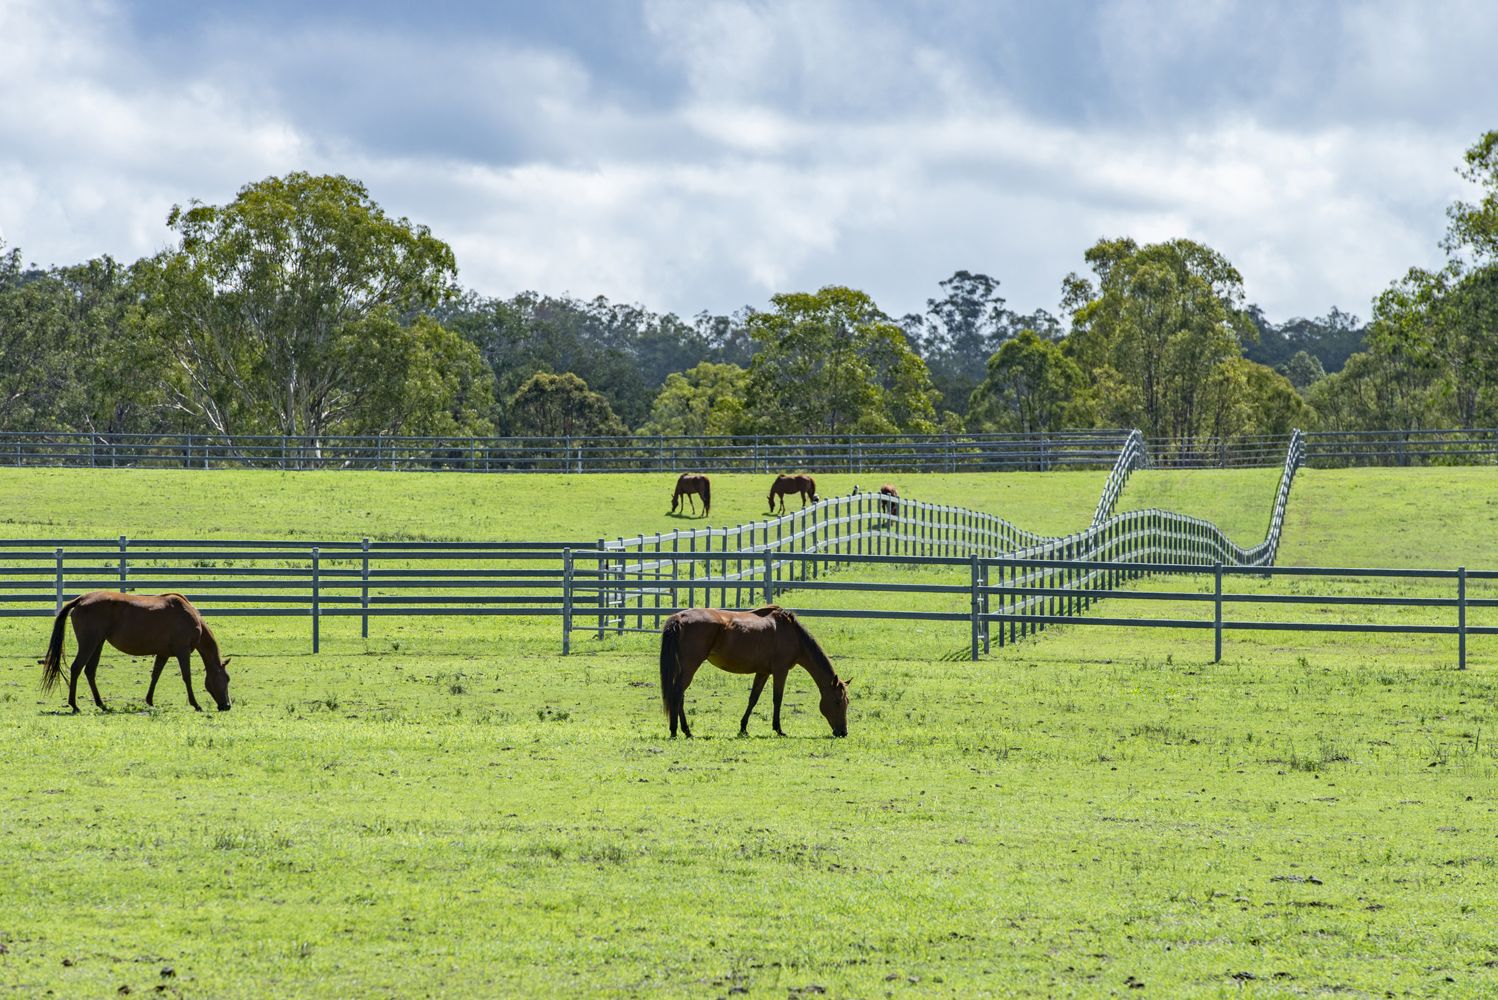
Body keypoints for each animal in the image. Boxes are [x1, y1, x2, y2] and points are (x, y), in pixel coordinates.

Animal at [38, 592, 232, 709]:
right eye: (227, 679)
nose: (227, 706)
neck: (188, 615)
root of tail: (81, 599)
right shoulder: (182, 652)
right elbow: (187, 677)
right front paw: (195, 704)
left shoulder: (163, 654)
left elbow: (155, 676)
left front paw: (150, 701)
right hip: (89, 643)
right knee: (77, 668)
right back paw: (74, 705)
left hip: (98, 643)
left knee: (90, 671)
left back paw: (101, 704)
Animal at [662, 604, 850, 739]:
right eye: (838, 702)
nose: (843, 732)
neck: (793, 634)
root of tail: (679, 618)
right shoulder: (780, 671)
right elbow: (777, 699)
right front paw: (778, 729)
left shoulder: (763, 672)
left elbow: (753, 699)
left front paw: (743, 728)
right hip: (690, 666)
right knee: (677, 693)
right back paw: (677, 730)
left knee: (680, 695)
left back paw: (685, 731)